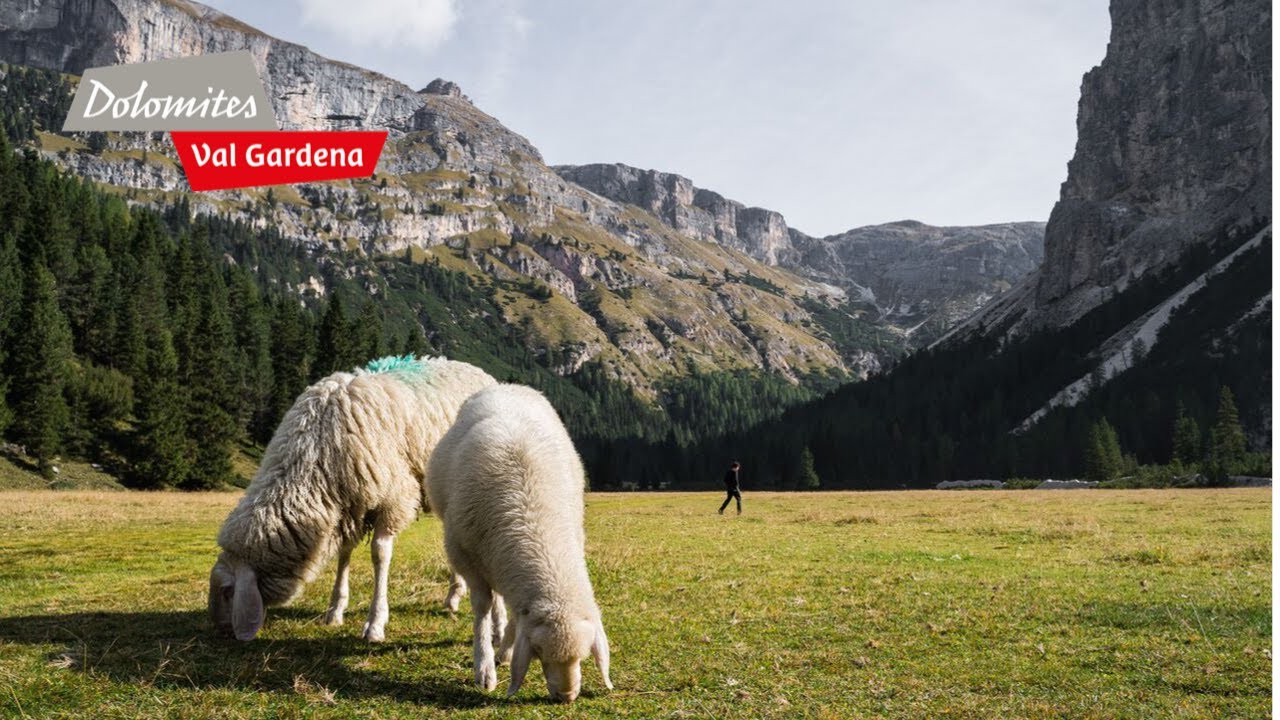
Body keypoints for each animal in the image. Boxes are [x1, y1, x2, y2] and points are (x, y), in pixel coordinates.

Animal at [208, 355, 495, 642]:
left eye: (227, 590)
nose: (220, 630)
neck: (310, 452)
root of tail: (473, 368)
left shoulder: (393, 496)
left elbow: (380, 554)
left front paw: (375, 622)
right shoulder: (348, 504)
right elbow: (344, 553)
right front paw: (335, 610)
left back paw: (454, 595)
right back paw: (454, 595)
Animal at [427, 383, 613, 703]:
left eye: (583, 656)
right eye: (538, 653)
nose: (566, 697)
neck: (531, 516)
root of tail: (507, 385)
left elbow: (514, 612)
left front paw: (505, 650)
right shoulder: (466, 556)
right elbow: (482, 607)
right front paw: (484, 667)